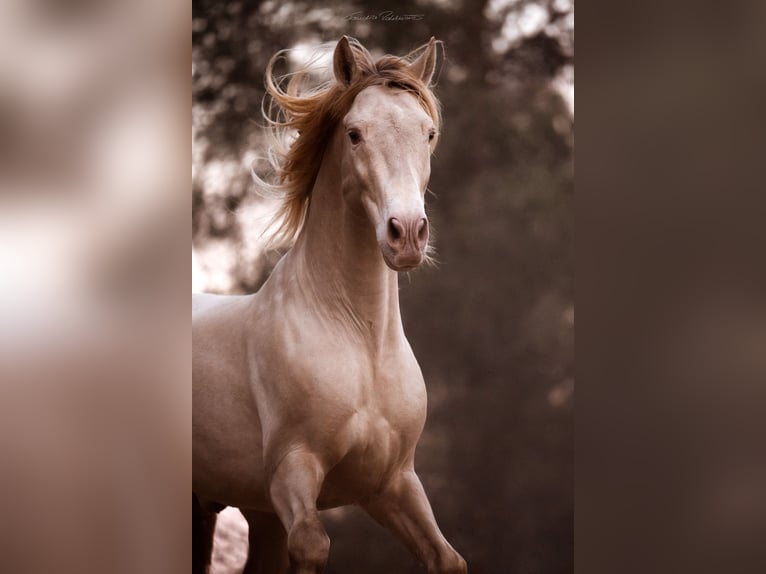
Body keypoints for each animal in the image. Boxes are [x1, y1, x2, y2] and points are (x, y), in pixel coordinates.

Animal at [192, 37, 468, 574]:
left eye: (427, 133)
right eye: (355, 134)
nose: (407, 234)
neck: (358, 339)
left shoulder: (393, 484)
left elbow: (447, 558)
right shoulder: (293, 469)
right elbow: (313, 544)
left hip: (233, 511)